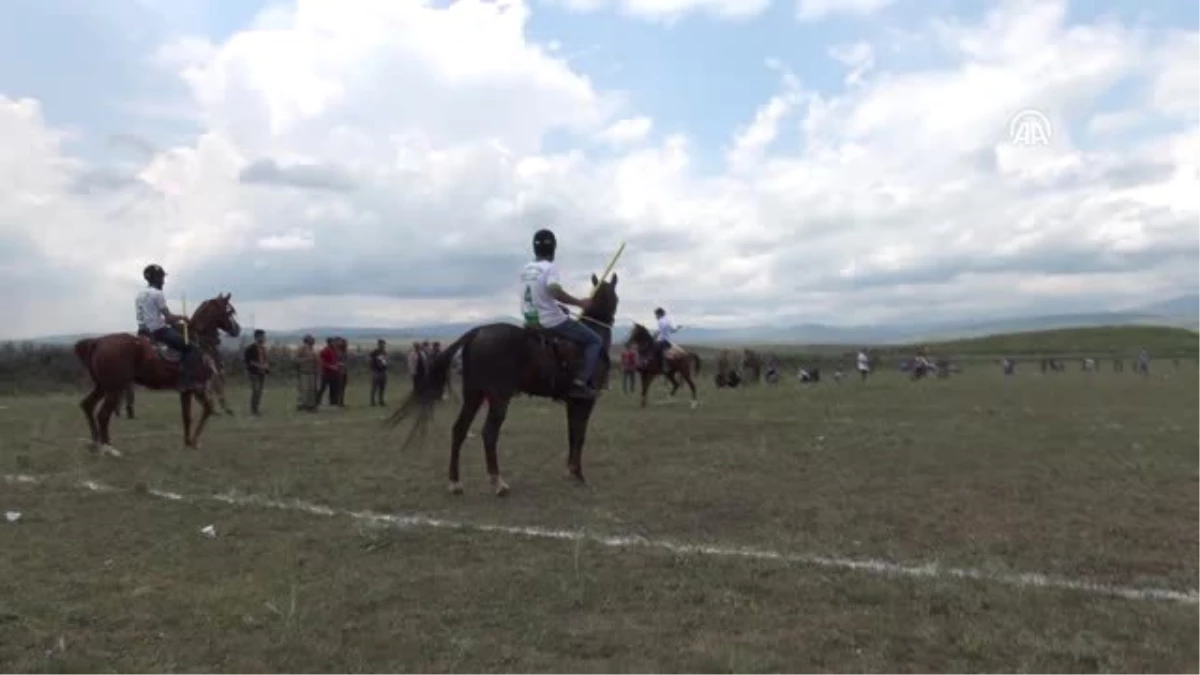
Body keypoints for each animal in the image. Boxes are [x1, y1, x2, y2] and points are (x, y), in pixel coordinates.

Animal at [75, 291, 241, 454]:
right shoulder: (196, 387)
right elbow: (203, 411)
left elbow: (190, 415)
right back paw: (108, 448)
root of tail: (97, 342)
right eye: (229, 311)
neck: (197, 341)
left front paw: (189, 442)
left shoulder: (188, 391)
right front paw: (193, 442)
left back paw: (95, 443)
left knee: (87, 405)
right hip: (115, 388)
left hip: (103, 386)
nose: (237, 329)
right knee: (103, 415)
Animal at [388, 271, 624, 494]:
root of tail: (478, 332)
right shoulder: (586, 401)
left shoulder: (573, 402)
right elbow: (580, 435)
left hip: (474, 394)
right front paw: (578, 474)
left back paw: (455, 482)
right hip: (498, 397)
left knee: (459, 429)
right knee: (489, 433)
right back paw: (498, 483)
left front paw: (570, 472)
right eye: (617, 297)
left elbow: (572, 434)